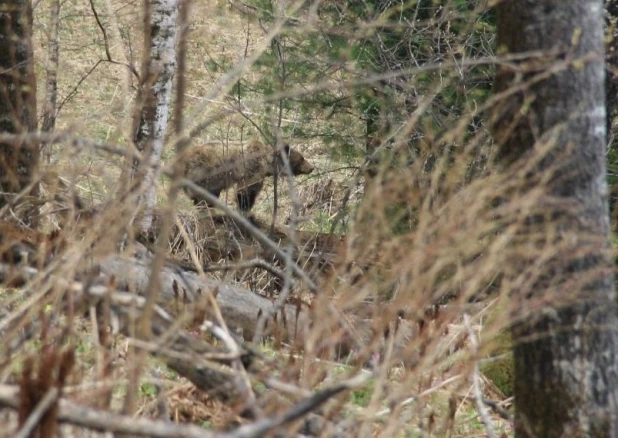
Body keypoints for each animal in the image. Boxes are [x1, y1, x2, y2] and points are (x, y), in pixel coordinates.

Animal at [180, 140, 310, 212]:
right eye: (302, 159)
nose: (311, 167)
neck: (266, 162)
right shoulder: (252, 170)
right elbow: (245, 192)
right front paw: (244, 208)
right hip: (204, 174)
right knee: (204, 196)